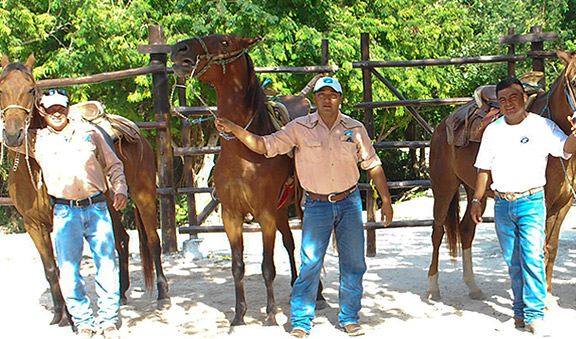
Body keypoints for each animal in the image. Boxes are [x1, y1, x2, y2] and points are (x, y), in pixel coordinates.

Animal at [0, 53, 170, 326]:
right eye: (1, 89)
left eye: (30, 89)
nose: (13, 134)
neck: (34, 167)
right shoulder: (32, 224)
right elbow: (51, 269)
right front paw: (59, 314)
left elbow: (66, 266)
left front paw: (69, 317)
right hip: (110, 204)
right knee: (122, 240)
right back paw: (121, 293)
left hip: (144, 194)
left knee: (154, 241)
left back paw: (163, 295)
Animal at [170, 34, 324, 326]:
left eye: (225, 42)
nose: (179, 49)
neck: (245, 152)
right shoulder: (231, 216)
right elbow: (237, 267)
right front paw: (239, 315)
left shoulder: (264, 214)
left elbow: (267, 267)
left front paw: (271, 314)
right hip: (281, 210)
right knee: (289, 243)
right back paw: (296, 286)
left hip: (298, 205)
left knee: (307, 245)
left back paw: (318, 294)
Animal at [426, 51, 576, 302]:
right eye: (573, 81)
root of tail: (441, 126)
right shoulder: (542, 203)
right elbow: (537, 249)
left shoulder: (564, 204)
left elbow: (551, 248)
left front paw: (547, 297)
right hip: (443, 188)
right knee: (438, 232)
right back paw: (433, 288)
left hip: (474, 191)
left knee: (466, 230)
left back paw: (473, 286)